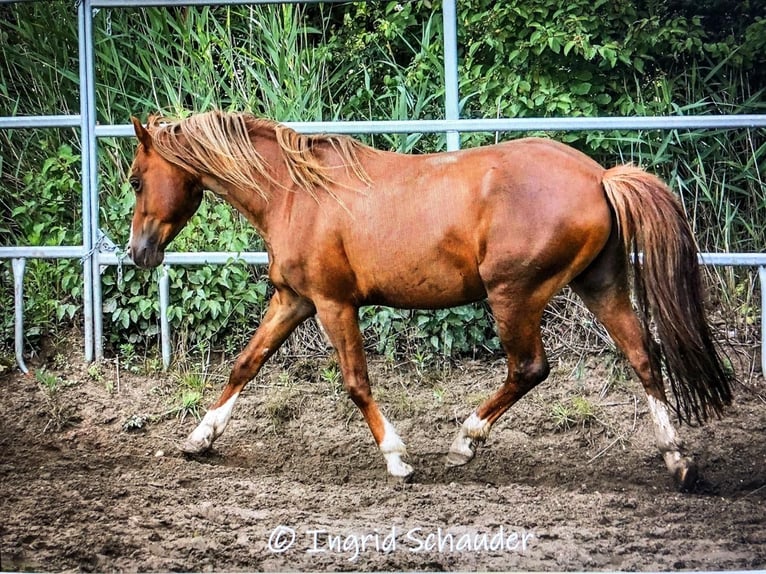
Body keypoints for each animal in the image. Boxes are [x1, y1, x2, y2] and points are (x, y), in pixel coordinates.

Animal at [129, 109, 736, 490]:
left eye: (136, 179)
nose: (138, 252)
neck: (296, 192)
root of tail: (600, 176)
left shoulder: (333, 303)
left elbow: (355, 383)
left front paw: (398, 460)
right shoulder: (293, 299)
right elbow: (245, 364)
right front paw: (199, 438)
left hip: (514, 293)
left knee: (529, 368)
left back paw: (465, 441)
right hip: (600, 284)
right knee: (643, 357)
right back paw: (679, 462)